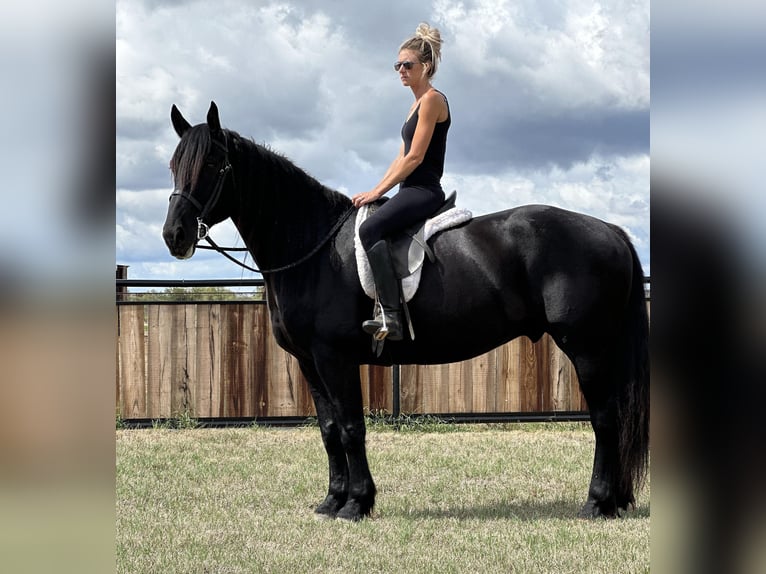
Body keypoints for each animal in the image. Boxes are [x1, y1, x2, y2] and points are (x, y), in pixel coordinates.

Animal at [162, 102, 648, 520]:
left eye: (212, 164)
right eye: (173, 165)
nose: (174, 235)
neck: (313, 247)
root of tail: (610, 230)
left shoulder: (334, 358)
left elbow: (351, 428)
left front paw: (357, 503)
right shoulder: (308, 362)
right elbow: (328, 430)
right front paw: (332, 500)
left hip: (587, 349)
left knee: (606, 420)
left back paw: (596, 503)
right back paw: (614, 501)